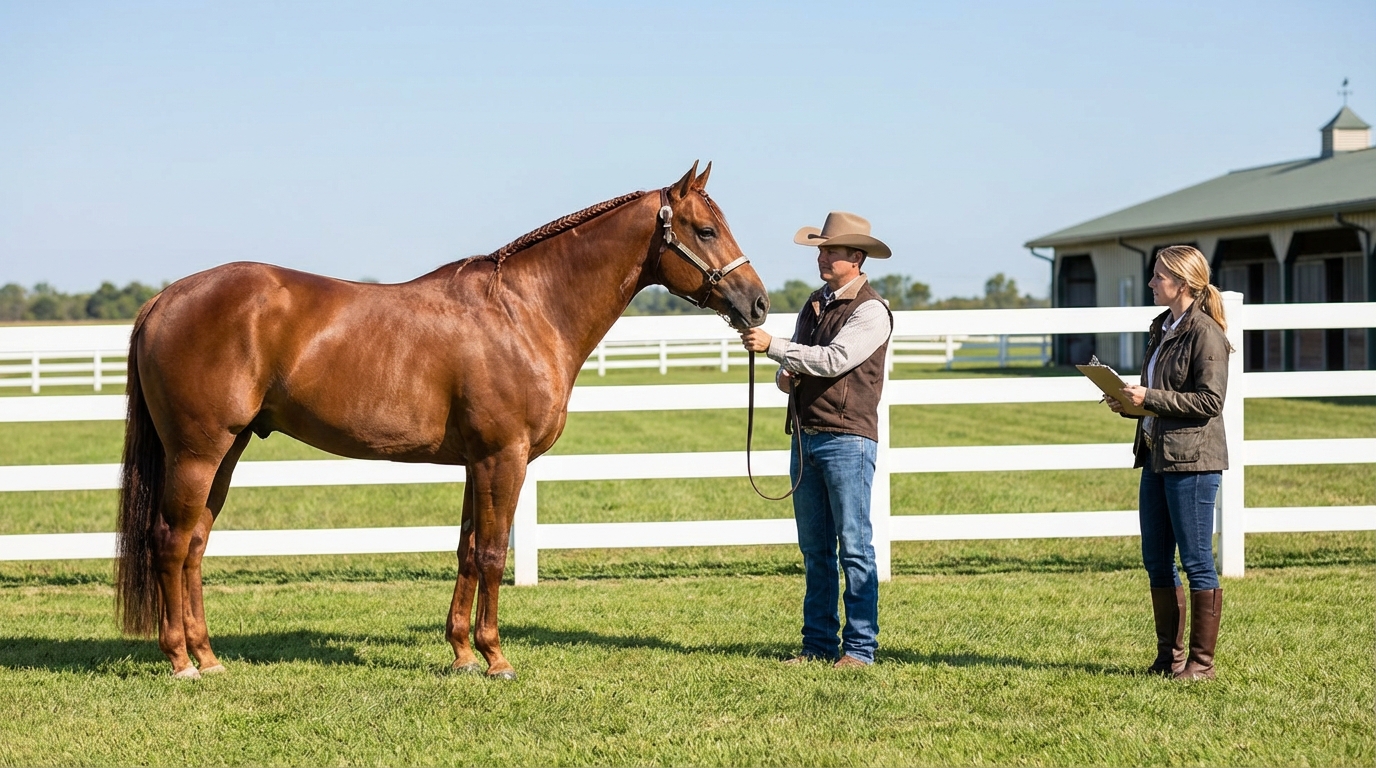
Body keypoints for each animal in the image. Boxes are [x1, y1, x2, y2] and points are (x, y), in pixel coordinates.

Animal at [116, 162, 769, 679]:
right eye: (705, 230)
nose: (758, 304)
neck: (525, 312)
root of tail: (165, 299)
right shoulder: (503, 457)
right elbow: (494, 554)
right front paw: (496, 658)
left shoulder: (476, 462)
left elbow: (466, 549)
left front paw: (460, 654)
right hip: (198, 452)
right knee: (170, 542)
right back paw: (181, 662)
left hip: (226, 453)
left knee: (196, 544)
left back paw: (208, 657)